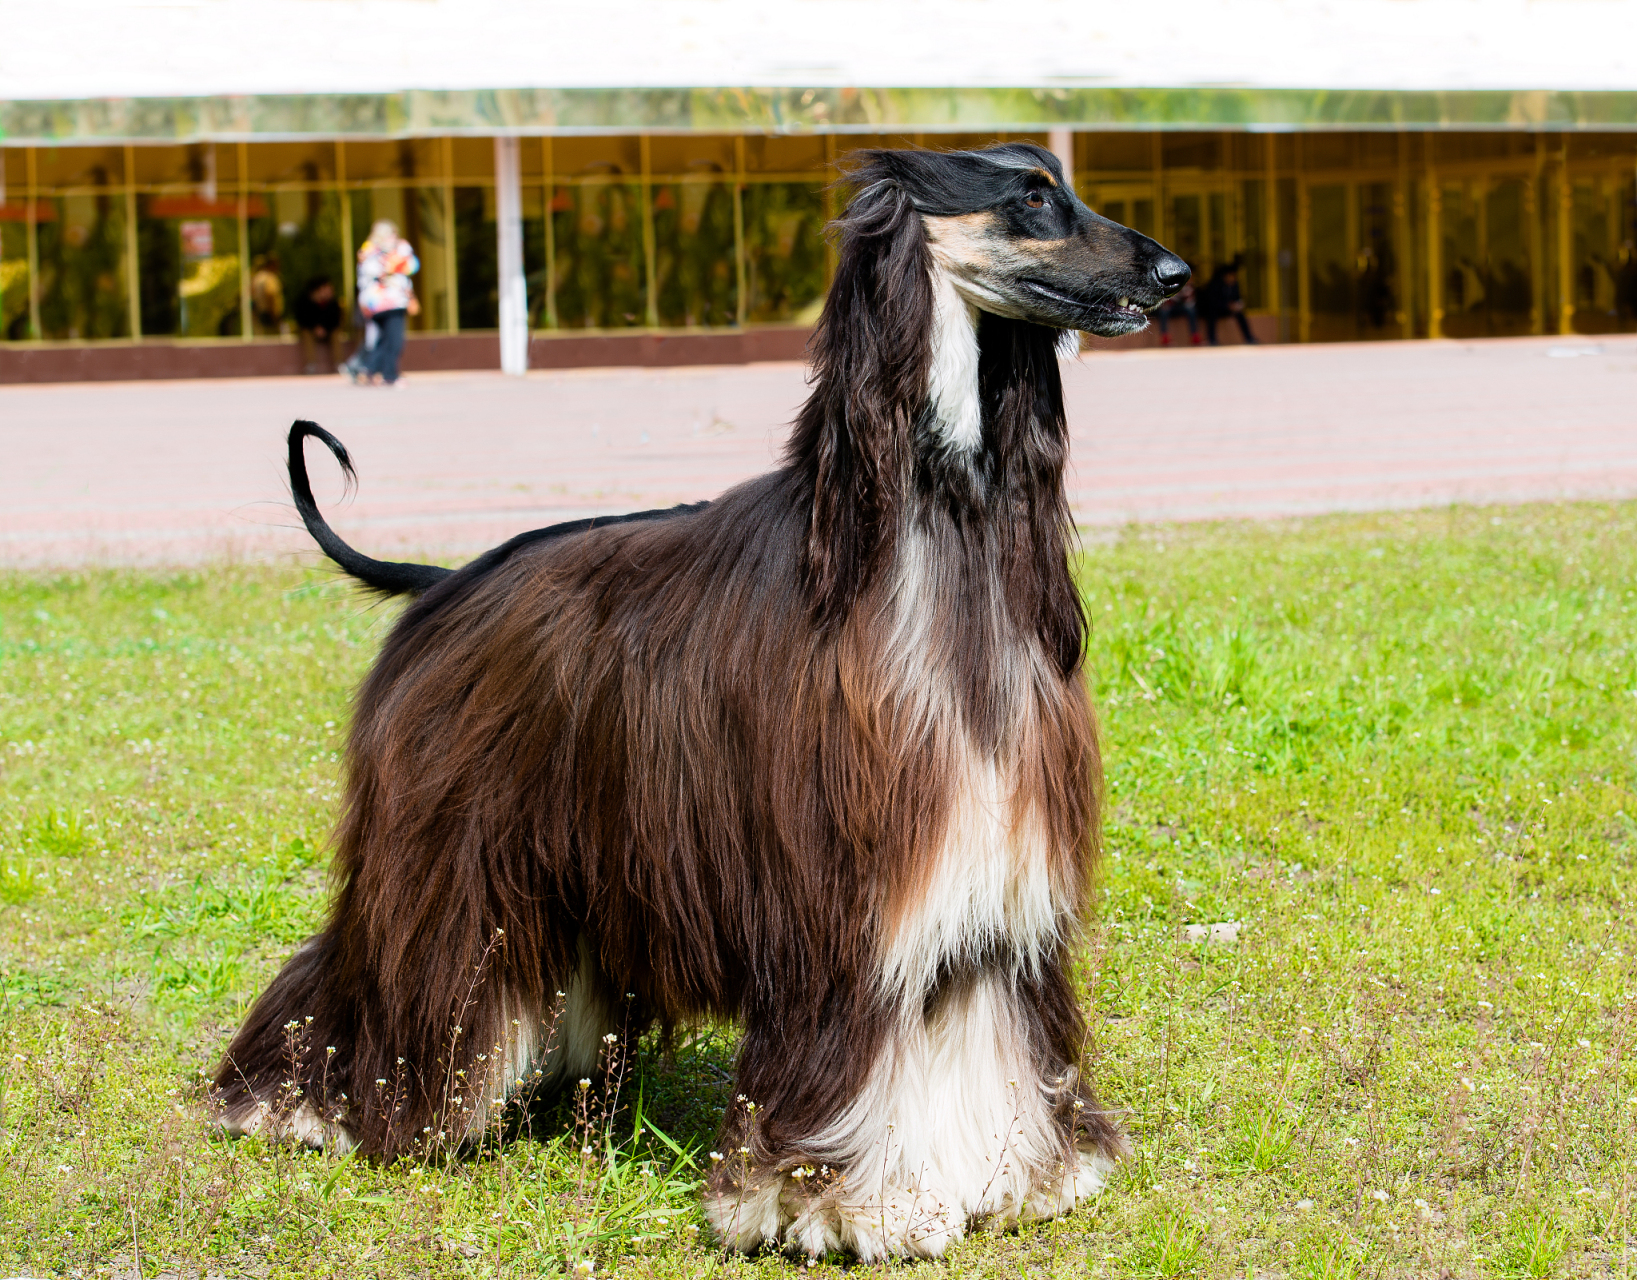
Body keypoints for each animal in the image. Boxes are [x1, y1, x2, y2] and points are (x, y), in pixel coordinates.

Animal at [217, 148, 1191, 1263]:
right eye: (1031, 196)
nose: (1174, 273)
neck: (938, 520)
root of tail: (445, 580)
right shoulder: (841, 894)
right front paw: (829, 1200)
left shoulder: (984, 883)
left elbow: (985, 1022)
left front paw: (1021, 1173)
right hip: (442, 851)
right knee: (366, 962)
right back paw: (295, 1102)